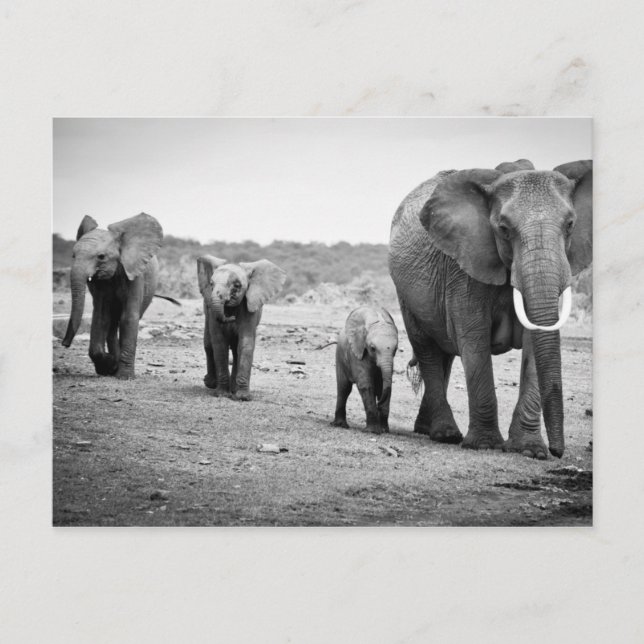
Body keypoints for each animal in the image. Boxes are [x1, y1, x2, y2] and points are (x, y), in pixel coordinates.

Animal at [62, 212, 169, 379]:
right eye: (73, 255)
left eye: (101, 257)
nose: (65, 344)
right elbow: (100, 316)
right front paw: (109, 365)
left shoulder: (134, 274)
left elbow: (129, 317)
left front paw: (124, 376)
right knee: (111, 323)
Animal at [197, 255, 286, 401]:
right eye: (211, 284)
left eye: (237, 285)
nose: (230, 318)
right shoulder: (211, 311)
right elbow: (219, 344)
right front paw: (222, 394)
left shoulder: (249, 307)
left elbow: (245, 343)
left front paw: (242, 397)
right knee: (208, 344)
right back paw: (211, 384)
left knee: (236, 350)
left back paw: (233, 389)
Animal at [389, 159, 592, 459]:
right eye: (504, 229)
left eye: (570, 225)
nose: (557, 452)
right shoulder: (463, 269)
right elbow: (474, 340)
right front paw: (484, 445)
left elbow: (534, 342)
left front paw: (530, 450)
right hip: (405, 293)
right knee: (427, 349)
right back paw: (445, 434)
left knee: (443, 354)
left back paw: (428, 430)